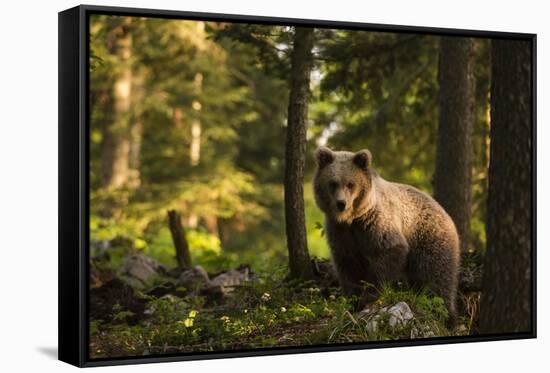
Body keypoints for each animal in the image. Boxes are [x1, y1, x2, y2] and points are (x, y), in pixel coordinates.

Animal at [314, 147, 462, 318]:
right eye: (333, 183)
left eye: (350, 184)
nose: (341, 203)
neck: (352, 218)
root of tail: (445, 213)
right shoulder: (341, 232)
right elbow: (347, 263)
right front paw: (353, 300)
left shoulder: (375, 222)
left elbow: (388, 251)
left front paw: (369, 295)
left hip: (429, 238)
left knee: (436, 275)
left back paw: (445, 313)